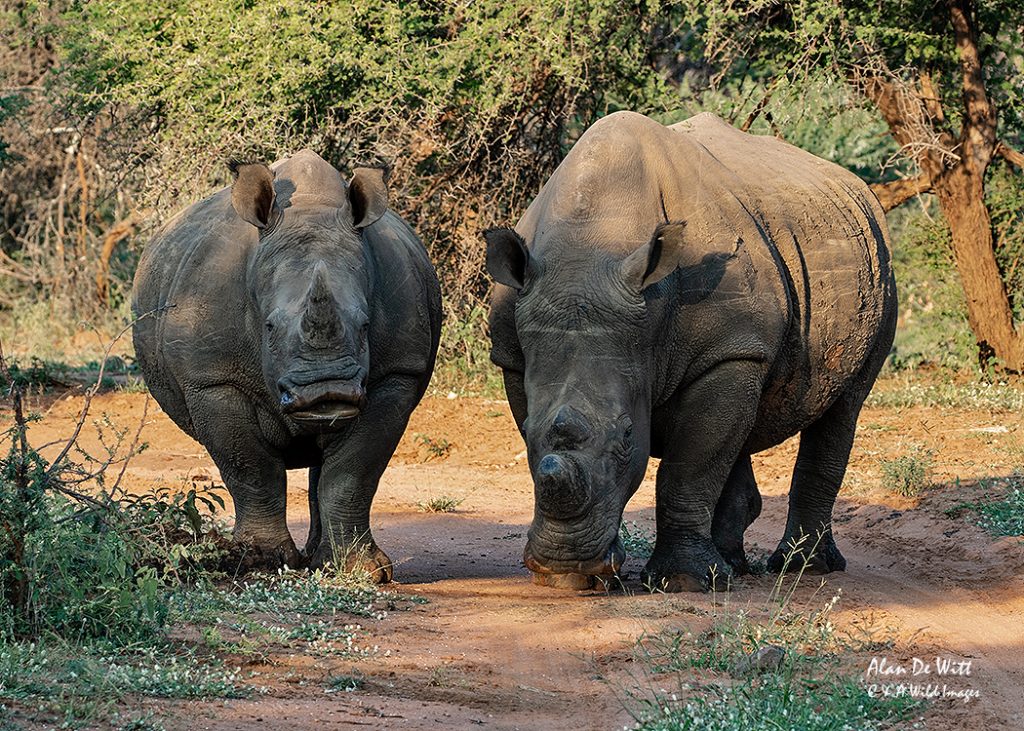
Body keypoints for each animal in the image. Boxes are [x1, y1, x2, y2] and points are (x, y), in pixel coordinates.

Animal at [133, 150, 441, 580]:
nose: (326, 393)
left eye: (365, 325)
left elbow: (354, 472)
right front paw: (260, 563)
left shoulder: (396, 374)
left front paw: (363, 572)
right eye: (269, 327)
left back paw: (321, 561)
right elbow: (249, 466)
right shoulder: (213, 380)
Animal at [485, 111, 897, 591]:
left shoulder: (728, 349)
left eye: (629, 435)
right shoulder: (513, 355)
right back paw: (733, 566)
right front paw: (572, 581)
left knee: (845, 405)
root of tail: (855, 187)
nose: (565, 562)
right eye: (527, 431)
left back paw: (800, 567)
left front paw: (682, 581)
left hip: (879, 263)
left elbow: (688, 468)